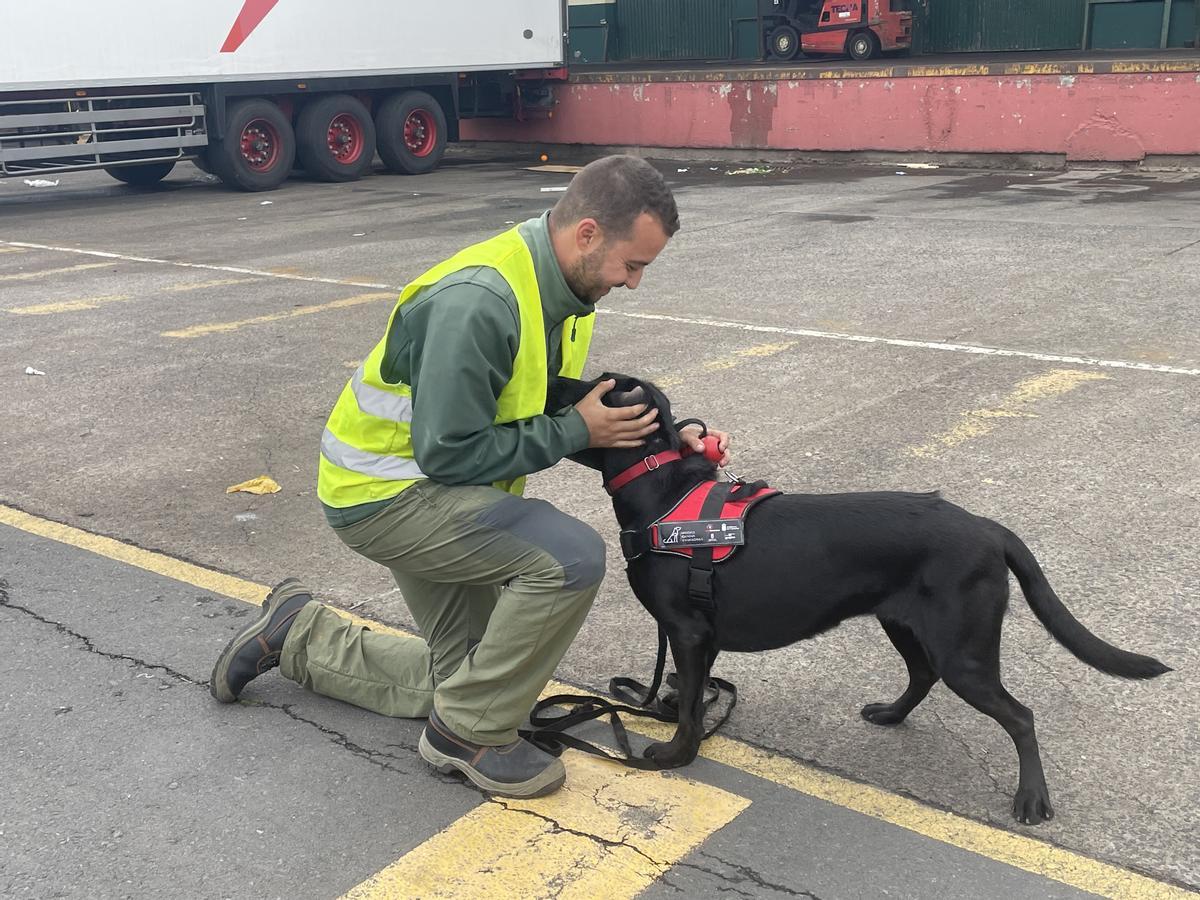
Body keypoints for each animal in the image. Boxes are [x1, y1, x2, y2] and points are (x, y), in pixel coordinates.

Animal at [552, 374, 1171, 825]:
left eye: (585, 384)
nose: (548, 383)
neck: (661, 493)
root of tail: (987, 527)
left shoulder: (687, 631)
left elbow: (685, 709)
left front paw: (675, 755)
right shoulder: (697, 638)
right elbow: (687, 692)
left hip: (962, 649)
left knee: (1020, 716)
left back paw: (1032, 800)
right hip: (906, 624)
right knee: (923, 676)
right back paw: (892, 715)